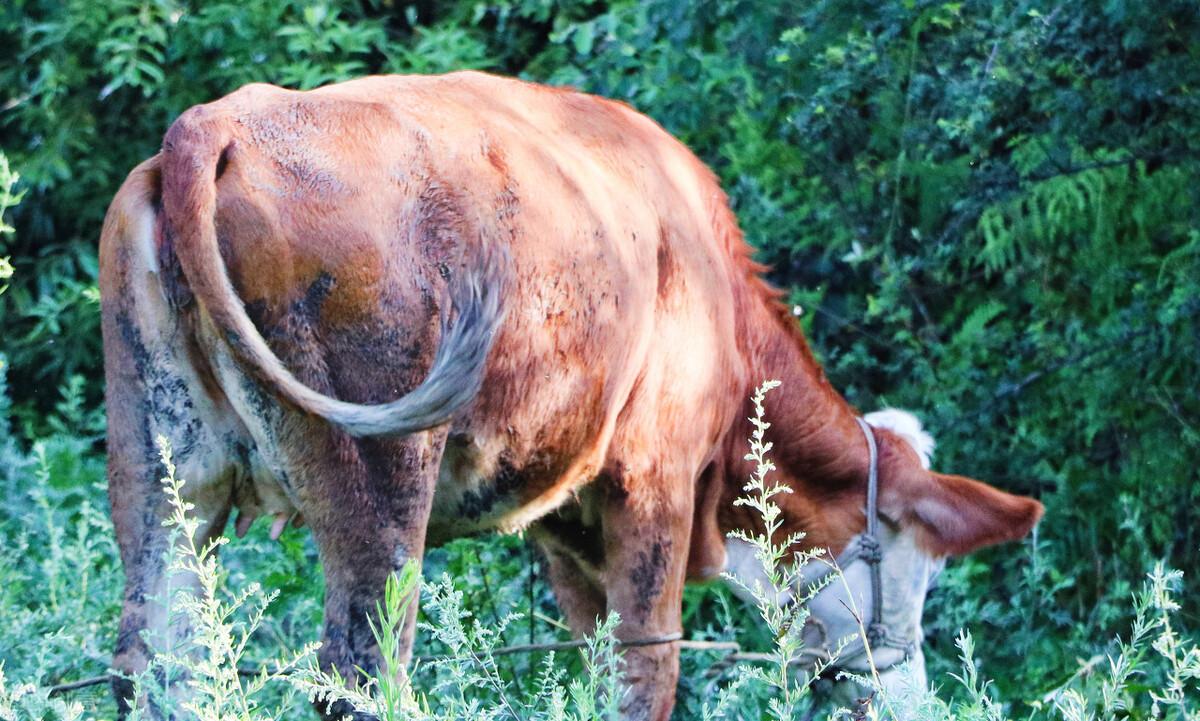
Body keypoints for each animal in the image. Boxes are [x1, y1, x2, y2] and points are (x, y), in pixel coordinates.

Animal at [100, 71, 1041, 719]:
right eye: (917, 572)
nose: (912, 693)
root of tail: (219, 120)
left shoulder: (561, 512)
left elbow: (588, 665)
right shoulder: (654, 479)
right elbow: (644, 668)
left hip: (162, 472)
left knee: (154, 664)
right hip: (381, 483)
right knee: (359, 673)